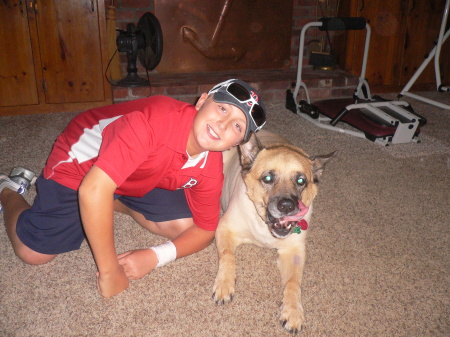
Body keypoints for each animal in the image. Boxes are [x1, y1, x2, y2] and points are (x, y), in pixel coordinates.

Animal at [212, 130, 334, 332]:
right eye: (267, 178)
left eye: (301, 180)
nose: (287, 206)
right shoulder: (225, 228)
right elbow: (228, 256)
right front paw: (224, 284)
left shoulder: (294, 252)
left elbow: (293, 282)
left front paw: (293, 311)